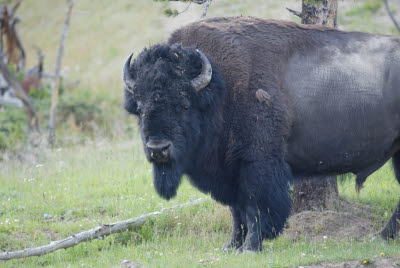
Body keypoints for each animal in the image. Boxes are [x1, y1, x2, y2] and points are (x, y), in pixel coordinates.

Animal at [122, 16, 400, 251]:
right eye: (140, 107)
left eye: (184, 104)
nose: (158, 149)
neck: (221, 88)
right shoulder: (229, 170)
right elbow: (236, 211)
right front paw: (231, 246)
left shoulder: (256, 164)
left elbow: (254, 207)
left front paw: (250, 247)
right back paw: (382, 237)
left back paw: (381, 236)